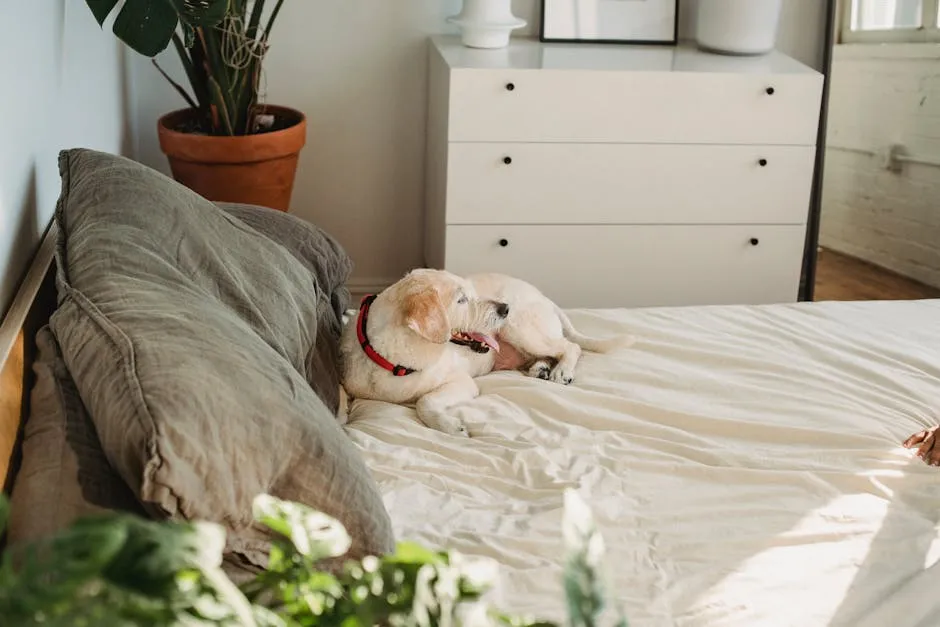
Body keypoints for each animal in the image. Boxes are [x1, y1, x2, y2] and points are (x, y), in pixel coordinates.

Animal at [338, 270, 632, 436]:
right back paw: (541, 368)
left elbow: (425, 401)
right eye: (461, 299)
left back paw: (561, 371)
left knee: (571, 346)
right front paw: (340, 415)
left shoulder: (461, 382)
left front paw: (449, 426)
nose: (504, 309)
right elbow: (340, 394)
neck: (397, 360)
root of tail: (544, 297)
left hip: (521, 329)